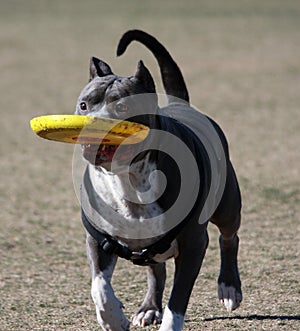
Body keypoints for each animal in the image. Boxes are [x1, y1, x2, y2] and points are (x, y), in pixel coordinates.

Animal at [75, 29, 241, 330]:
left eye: (123, 107)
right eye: (84, 105)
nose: (94, 128)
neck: (128, 178)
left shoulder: (193, 245)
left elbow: (178, 299)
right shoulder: (97, 240)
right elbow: (99, 286)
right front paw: (113, 319)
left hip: (227, 204)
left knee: (229, 237)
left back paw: (229, 287)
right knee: (156, 268)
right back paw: (149, 308)